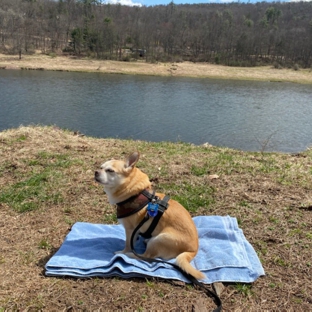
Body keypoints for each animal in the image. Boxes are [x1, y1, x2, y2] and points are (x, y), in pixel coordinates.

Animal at [95, 151, 205, 280]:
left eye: (110, 171)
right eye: (100, 167)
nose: (96, 172)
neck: (135, 193)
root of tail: (193, 250)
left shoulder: (130, 229)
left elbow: (128, 244)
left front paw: (123, 253)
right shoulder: (135, 231)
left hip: (159, 239)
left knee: (147, 256)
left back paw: (131, 255)